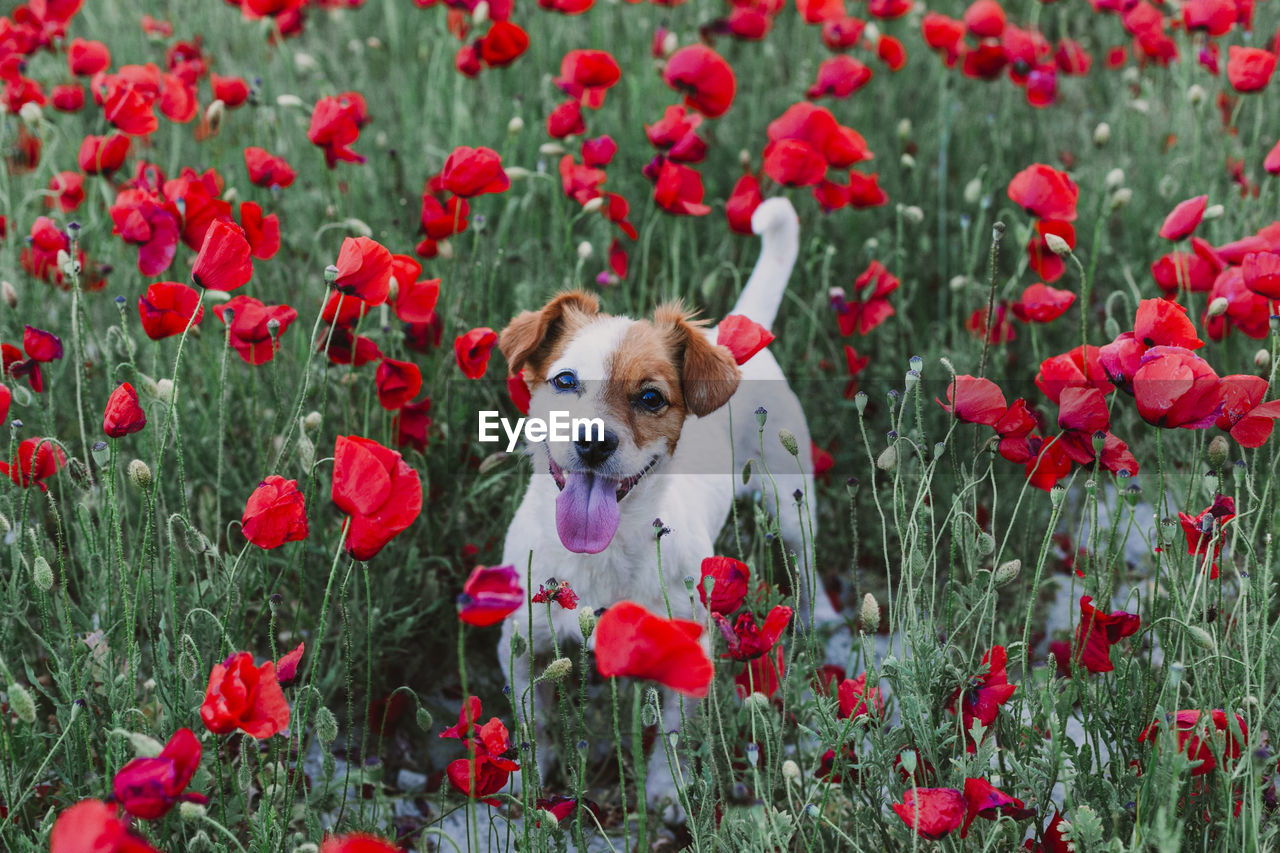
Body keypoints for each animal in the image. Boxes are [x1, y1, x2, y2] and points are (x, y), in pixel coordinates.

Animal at [494, 197, 834, 819]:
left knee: (806, 564)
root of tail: (733, 327)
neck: (603, 555)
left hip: (792, 505)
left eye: (651, 397)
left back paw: (816, 616)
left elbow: (672, 737)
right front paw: (527, 784)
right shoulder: (522, 648)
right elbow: (535, 725)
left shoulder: (690, 653)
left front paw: (666, 793)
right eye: (565, 380)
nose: (593, 441)